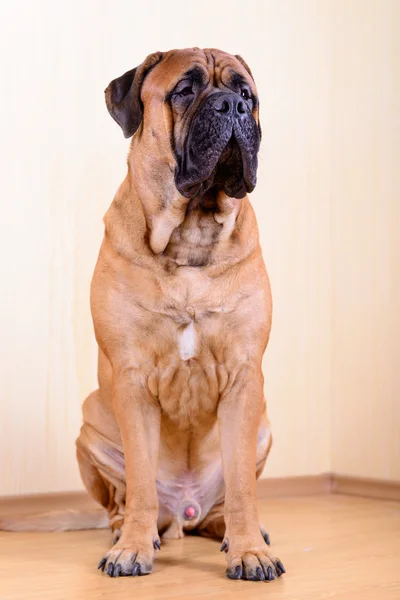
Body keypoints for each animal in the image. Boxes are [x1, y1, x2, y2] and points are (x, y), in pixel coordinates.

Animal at [2, 49, 288, 584]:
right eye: (184, 90)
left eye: (247, 94)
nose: (232, 106)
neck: (191, 232)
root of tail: (185, 513)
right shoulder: (131, 380)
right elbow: (138, 479)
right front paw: (132, 548)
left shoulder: (245, 378)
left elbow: (242, 485)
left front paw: (249, 551)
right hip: (91, 427)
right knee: (125, 502)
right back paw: (132, 532)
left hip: (261, 425)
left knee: (224, 504)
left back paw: (234, 530)